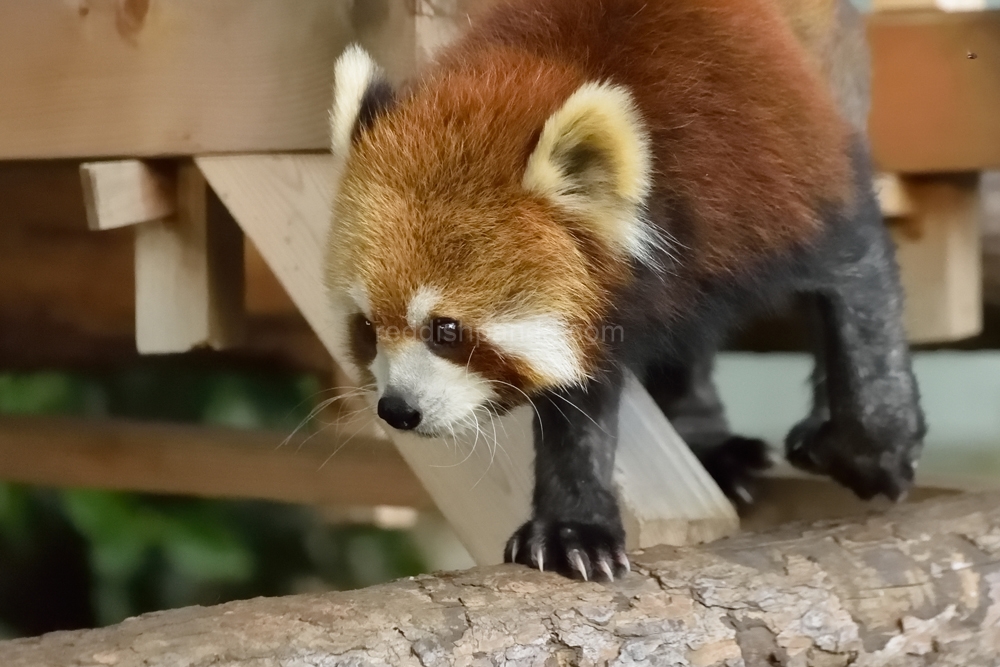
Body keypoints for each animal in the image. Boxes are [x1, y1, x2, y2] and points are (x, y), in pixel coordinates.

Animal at [324, 0, 924, 580]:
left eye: (445, 330)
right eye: (368, 328)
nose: (397, 409)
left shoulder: (772, 165)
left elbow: (857, 278)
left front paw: (875, 449)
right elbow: (580, 401)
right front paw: (573, 529)